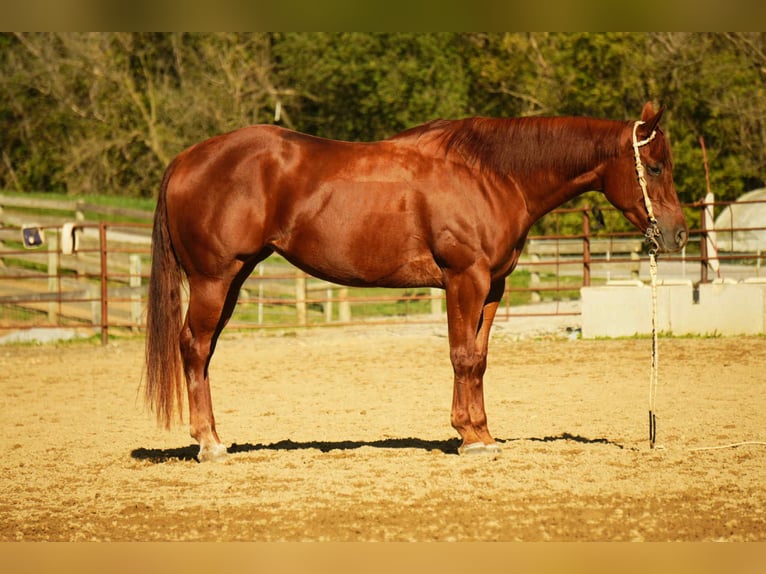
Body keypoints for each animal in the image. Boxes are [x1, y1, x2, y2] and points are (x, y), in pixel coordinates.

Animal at [144, 102, 687, 462]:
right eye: (655, 165)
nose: (678, 233)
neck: (491, 174)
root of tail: (186, 159)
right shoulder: (465, 279)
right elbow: (461, 355)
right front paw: (470, 440)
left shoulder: (492, 287)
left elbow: (478, 359)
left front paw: (480, 433)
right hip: (215, 279)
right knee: (194, 347)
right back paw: (210, 444)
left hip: (234, 280)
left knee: (205, 352)